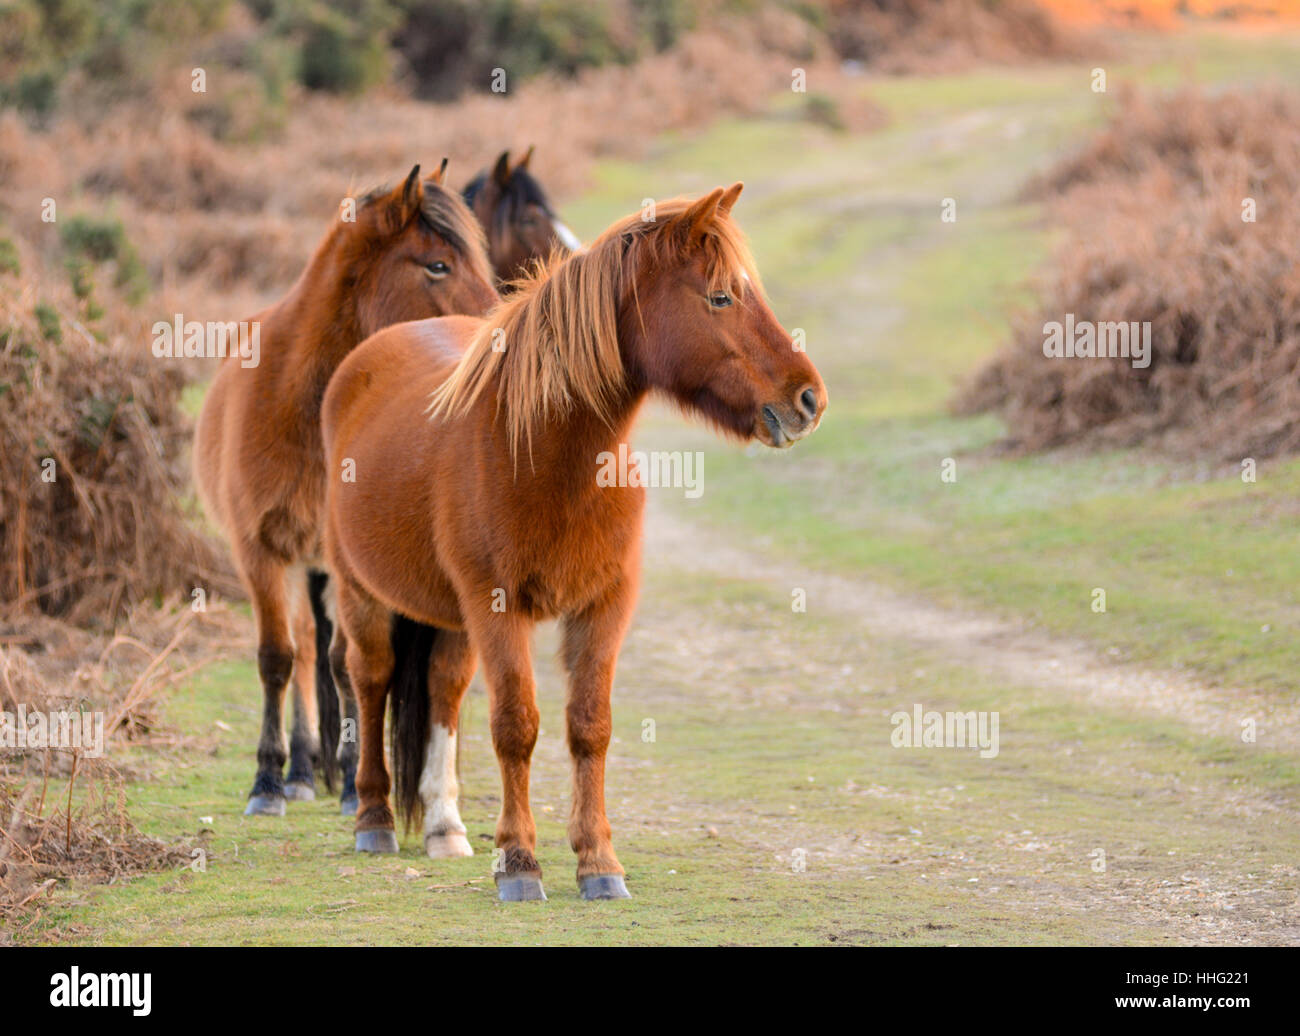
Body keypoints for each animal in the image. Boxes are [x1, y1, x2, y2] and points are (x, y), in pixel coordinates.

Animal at [192, 161, 496, 816]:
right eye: (437, 265)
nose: (491, 332)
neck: (303, 405)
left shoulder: (341, 560)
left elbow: (344, 663)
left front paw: (356, 779)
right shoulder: (259, 551)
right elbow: (276, 659)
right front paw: (266, 780)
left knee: (321, 653)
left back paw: (317, 766)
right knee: (300, 651)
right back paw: (299, 768)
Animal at [321, 183, 826, 899]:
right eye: (721, 297)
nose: (808, 398)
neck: (541, 452)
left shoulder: (603, 607)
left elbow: (590, 728)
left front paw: (599, 862)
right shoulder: (498, 610)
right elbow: (516, 727)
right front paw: (519, 862)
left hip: (450, 618)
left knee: (444, 691)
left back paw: (446, 827)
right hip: (360, 590)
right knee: (369, 679)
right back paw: (373, 819)